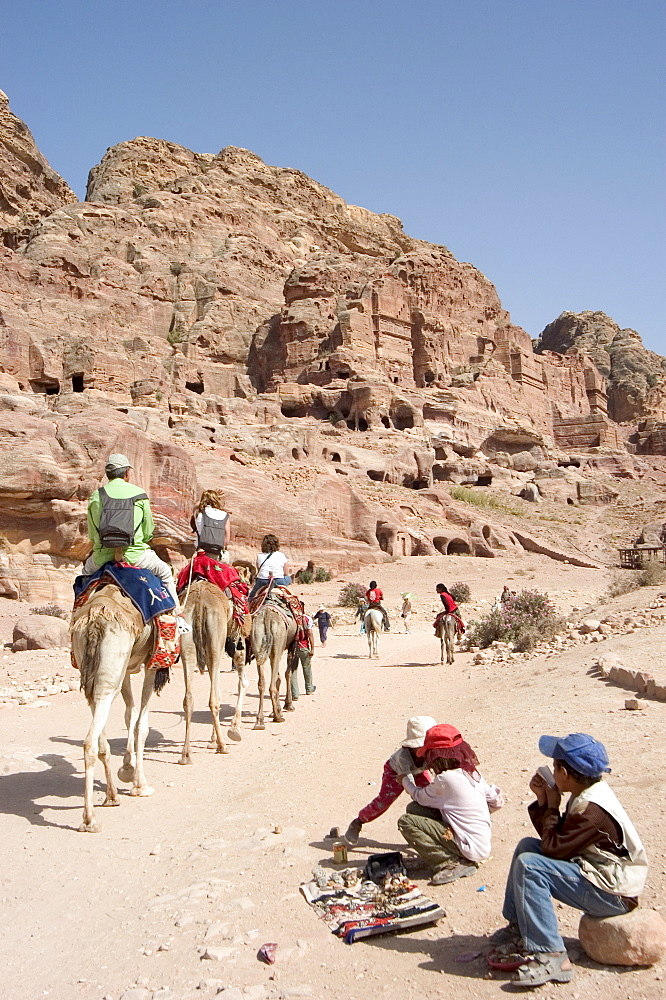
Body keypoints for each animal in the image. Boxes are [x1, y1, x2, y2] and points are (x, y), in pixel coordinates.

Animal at [70, 584, 165, 832]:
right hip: (112, 664)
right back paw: (90, 819)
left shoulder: (127, 668)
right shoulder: (151, 663)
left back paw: (112, 796)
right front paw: (140, 785)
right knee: (89, 742)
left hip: (96, 671)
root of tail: (95, 619)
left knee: (99, 731)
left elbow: (129, 712)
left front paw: (127, 768)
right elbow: (142, 724)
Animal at [178, 580, 245, 764]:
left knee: (189, 699)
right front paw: (228, 734)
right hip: (216, 642)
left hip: (186, 640)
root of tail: (199, 601)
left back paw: (185, 755)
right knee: (213, 699)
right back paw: (222, 746)